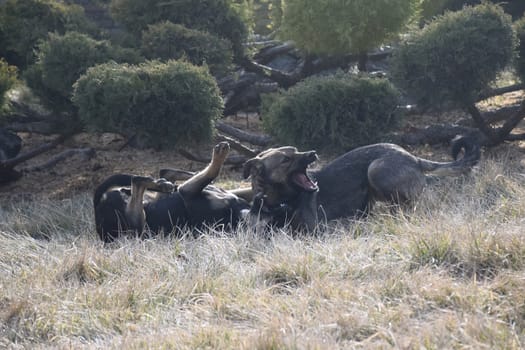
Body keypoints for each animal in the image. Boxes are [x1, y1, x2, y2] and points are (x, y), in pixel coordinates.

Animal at [92, 142, 252, 243]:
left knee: (139, 182)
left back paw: (159, 184)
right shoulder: (190, 190)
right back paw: (168, 181)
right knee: (164, 174)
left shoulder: (187, 191)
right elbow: (212, 174)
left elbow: (213, 172)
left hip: (137, 229)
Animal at [242, 135, 478, 231]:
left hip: (376, 169)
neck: (281, 200)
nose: (313, 153)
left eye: (296, 150)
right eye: (285, 159)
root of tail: (414, 158)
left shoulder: (313, 229)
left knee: (408, 205)